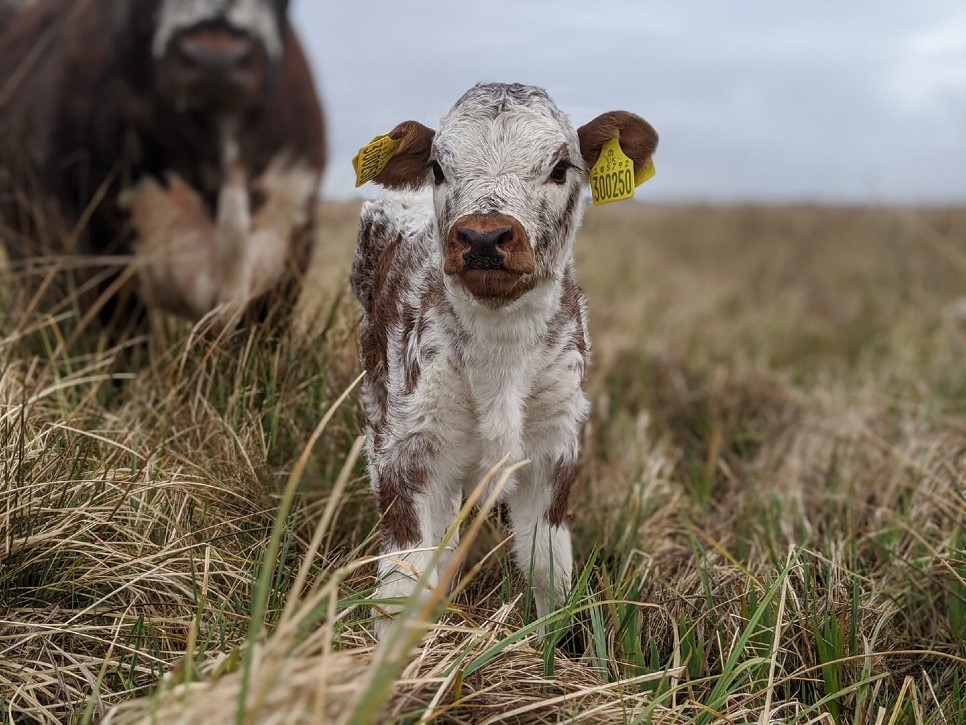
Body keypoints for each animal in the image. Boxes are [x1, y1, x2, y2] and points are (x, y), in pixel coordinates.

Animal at [352, 82, 660, 632]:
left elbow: (548, 569)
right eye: (438, 168)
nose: (483, 237)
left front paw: (548, 646)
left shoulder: (555, 446)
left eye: (560, 167)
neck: (500, 354)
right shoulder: (407, 446)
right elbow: (402, 582)